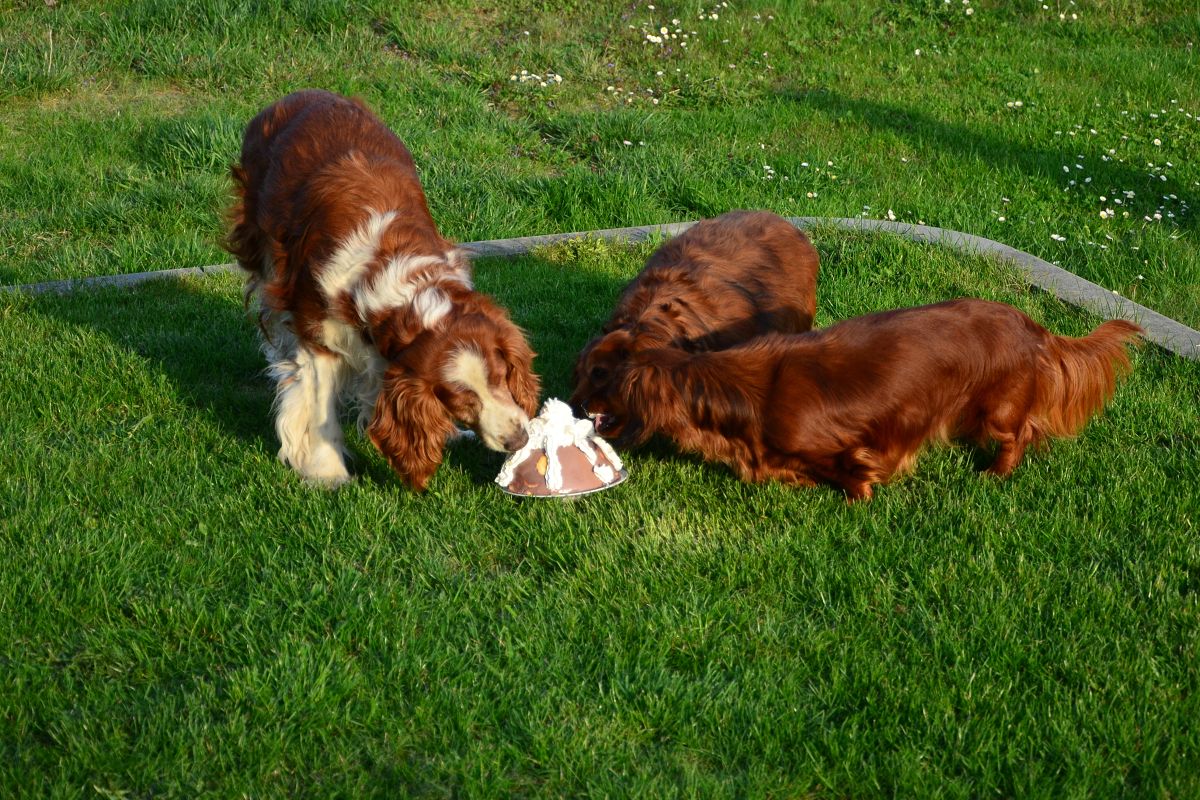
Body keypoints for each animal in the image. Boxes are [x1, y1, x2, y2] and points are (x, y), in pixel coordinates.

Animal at [225, 89, 539, 490]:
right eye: (460, 400)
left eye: (500, 376)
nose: (518, 439)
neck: (405, 288)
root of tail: (303, 93)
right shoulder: (319, 334)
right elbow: (320, 406)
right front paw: (328, 472)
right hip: (262, 250)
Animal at [583, 298, 1141, 500]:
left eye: (596, 376)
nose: (576, 407)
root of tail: (1034, 329)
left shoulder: (847, 447)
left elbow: (853, 474)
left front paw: (857, 499)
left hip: (995, 409)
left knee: (1019, 434)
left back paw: (995, 474)